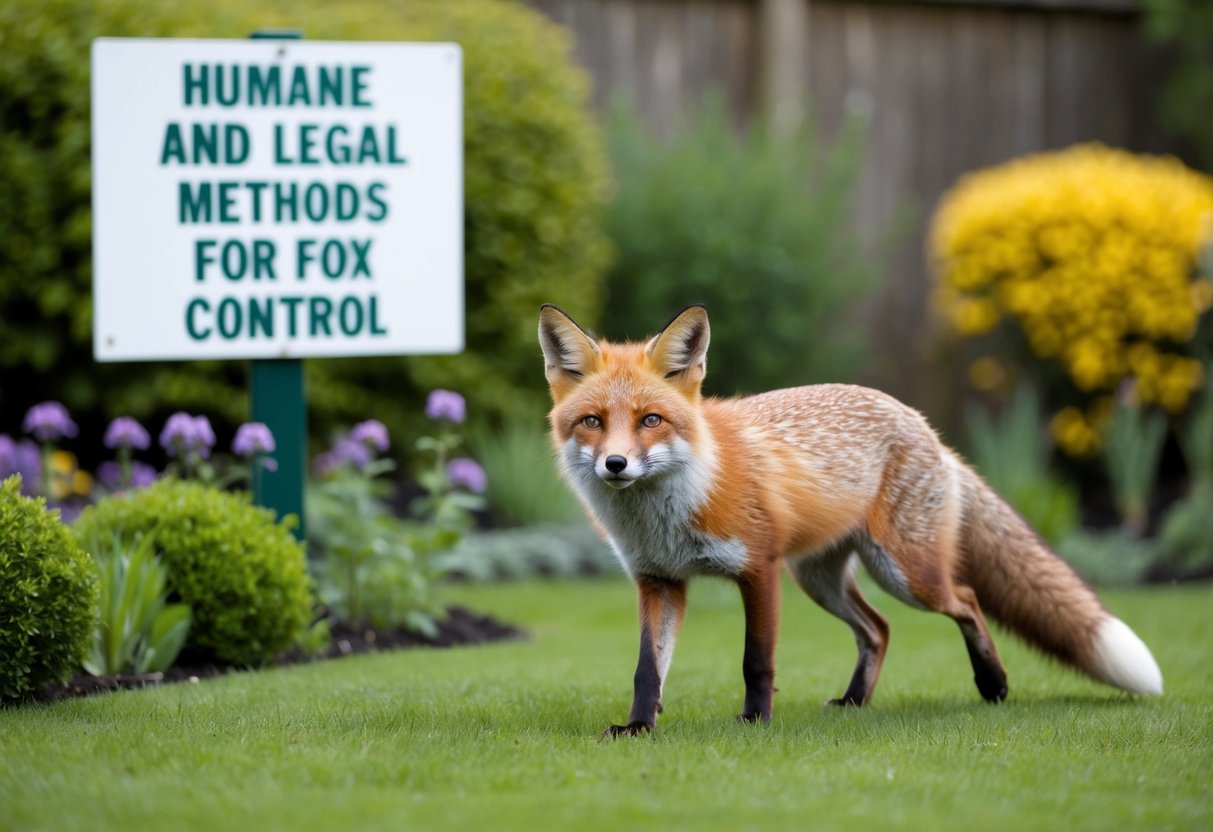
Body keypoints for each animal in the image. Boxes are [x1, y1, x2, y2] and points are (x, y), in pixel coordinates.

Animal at [538, 303, 1163, 737]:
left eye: (651, 420)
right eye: (592, 421)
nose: (616, 464)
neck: (670, 508)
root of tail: (925, 426)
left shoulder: (758, 569)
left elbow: (756, 660)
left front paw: (756, 722)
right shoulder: (659, 580)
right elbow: (649, 668)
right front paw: (639, 726)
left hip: (906, 574)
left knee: (965, 599)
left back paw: (993, 682)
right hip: (820, 579)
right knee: (879, 629)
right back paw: (855, 702)